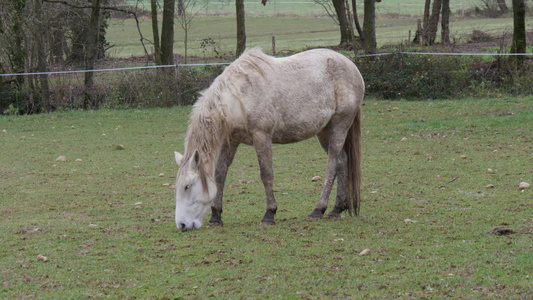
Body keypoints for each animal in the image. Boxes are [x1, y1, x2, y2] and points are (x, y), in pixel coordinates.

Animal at [172, 48, 364, 232]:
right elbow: (220, 174)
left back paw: (318, 210)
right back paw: (337, 209)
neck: (238, 97)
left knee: (332, 167)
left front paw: (269, 214)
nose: (182, 225)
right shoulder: (231, 141)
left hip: (339, 126)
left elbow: (266, 174)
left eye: (187, 186)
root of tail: (351, 66)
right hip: (324, 131)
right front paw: (215, 217)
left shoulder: (261, 136)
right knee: (342, 161)